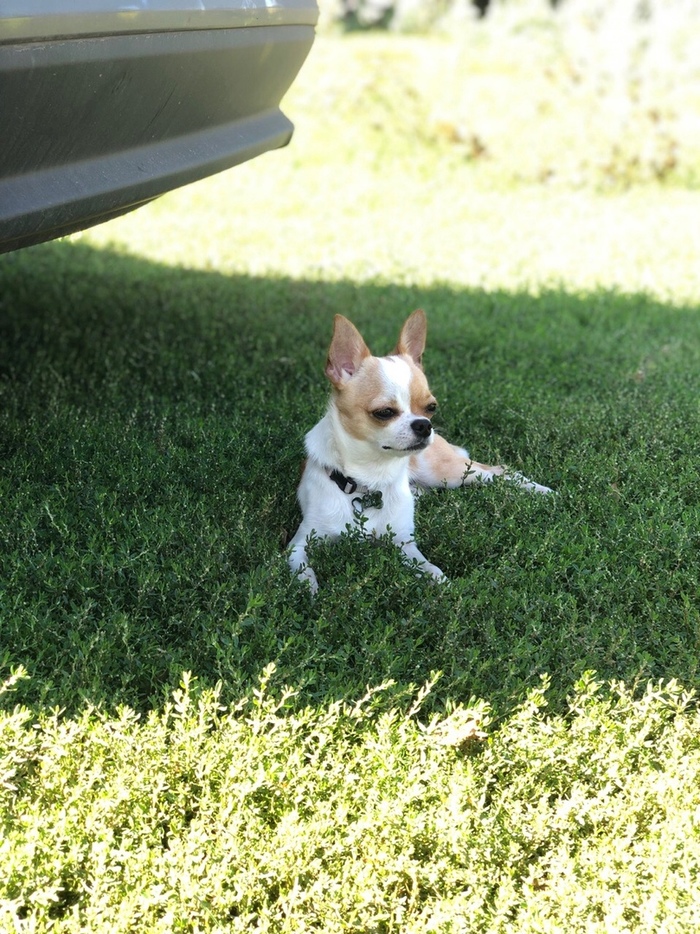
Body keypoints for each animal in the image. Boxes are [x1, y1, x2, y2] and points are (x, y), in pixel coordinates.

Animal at [288, 312, 548, 592]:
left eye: (431, 407)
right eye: (384, 412)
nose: (424, 425)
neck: (370, 480)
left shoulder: (404, 542)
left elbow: (430, 569)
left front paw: (442, 584)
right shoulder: (300, 544)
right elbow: (302, 570)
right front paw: (309, 589)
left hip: (450, 473)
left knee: (501, 470)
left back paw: (543, 491)